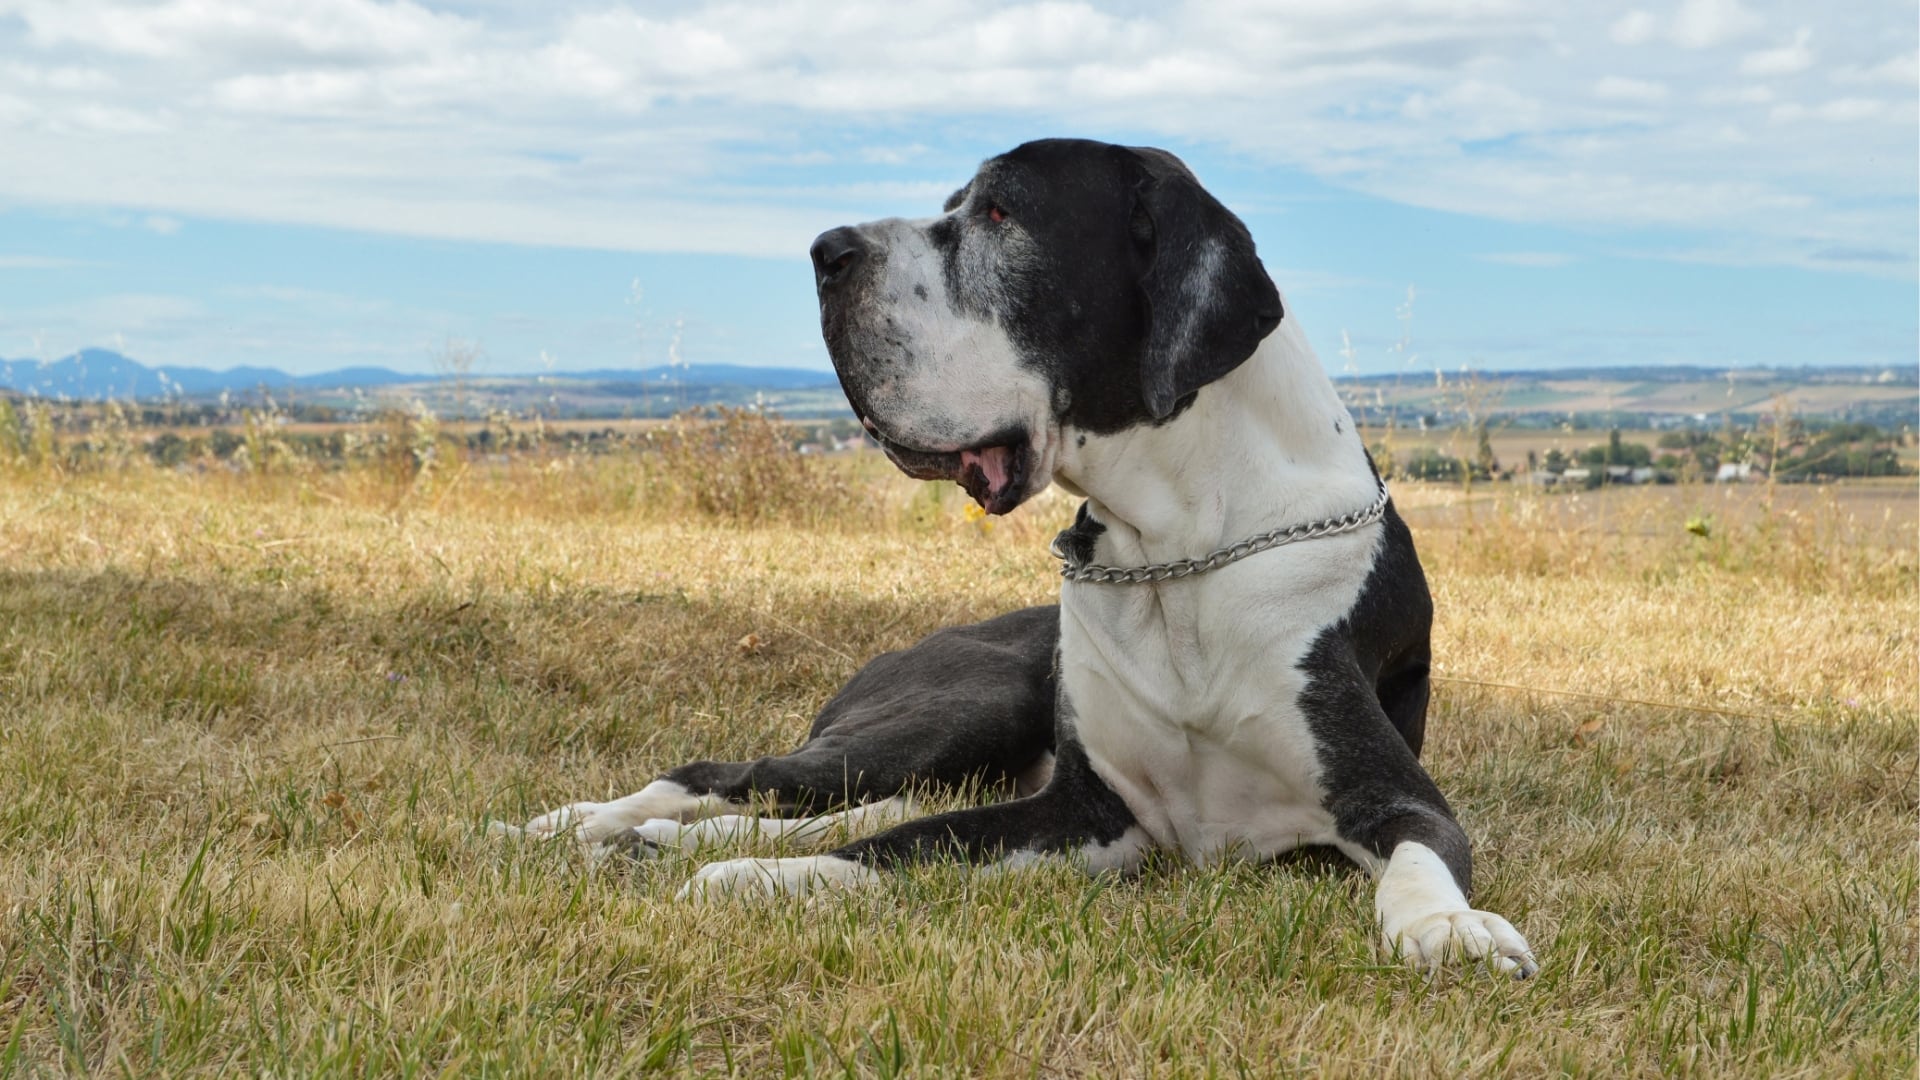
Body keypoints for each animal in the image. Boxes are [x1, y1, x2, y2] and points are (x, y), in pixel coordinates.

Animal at [506, 136, 1528, 976]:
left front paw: (1444, 926)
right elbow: (902, 847)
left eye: (999, 213)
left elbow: (1422, 853)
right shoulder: (1086, 812)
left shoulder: (1387, 797)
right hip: (963, 707)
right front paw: (759, 878)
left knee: (848, 806)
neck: (1178, 550)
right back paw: (574, 823)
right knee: (735, 778)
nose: (827, 251)